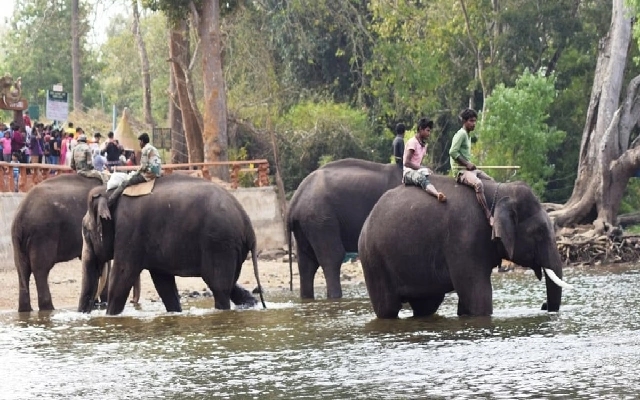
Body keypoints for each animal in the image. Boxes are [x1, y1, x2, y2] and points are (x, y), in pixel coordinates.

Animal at [77, 174, 266, 315]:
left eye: (86, 230)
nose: (87, 312)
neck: (109, 193)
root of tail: (248, 224)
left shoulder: (129, 230)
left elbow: (122, 275)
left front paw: (110, 316)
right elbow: (164, 283)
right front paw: (175, 312)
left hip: (220, 243)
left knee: (219, 288)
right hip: (231, 247)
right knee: (230, 284)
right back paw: (250, 304)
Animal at [287, 158, 402, 299]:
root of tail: (293, 203)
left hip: (305, 224)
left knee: (306, 263)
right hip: (320, 219)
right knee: (333, 258)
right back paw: (335, 297)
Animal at [358, 175, 572, 318]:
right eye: (539, 232)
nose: (543, 305)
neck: (499, 190)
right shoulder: (464, 239)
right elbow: (478, 297)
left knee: (426, 305)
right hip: (373, 261)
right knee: (388, 309)